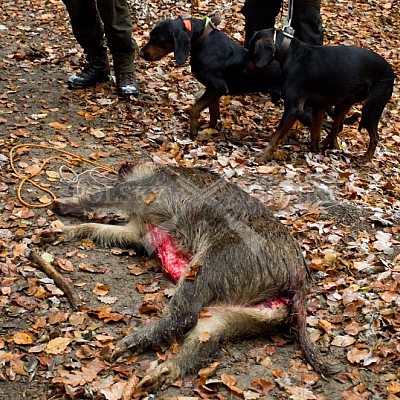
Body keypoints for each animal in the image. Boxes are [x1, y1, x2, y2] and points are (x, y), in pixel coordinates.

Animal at [40, 158, 330, 392]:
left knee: (183, 316)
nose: (123, 165)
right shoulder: (138, 231)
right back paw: (151, 378)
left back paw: (122, 347)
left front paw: (58, 204)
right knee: (204, 335)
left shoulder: (141, 190)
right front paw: (49, 235)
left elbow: (102, 196)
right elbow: (100, 229)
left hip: (214, 263)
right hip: (249, 314)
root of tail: (298, 279)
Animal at [140, 15, 282, 140]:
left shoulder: (217, 88)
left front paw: (193, 130)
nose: (140, 53)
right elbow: (213, 113)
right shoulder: (213, 90)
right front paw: (209, 130)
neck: (201, 39)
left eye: (158, 39)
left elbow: (194, 109)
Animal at [247, 28, 394, 162]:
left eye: (252, 52)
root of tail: (392, 72)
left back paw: (366, 158)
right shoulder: (319, 106)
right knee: (337, 127)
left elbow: (275, 138)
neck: (290, 52)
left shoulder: (294, 109)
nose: (244, 67)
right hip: (343, 105)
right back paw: (326, 145)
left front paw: (262, 157)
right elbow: (315, 133)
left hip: (370, 109)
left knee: (374, 137)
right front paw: (314, 150)